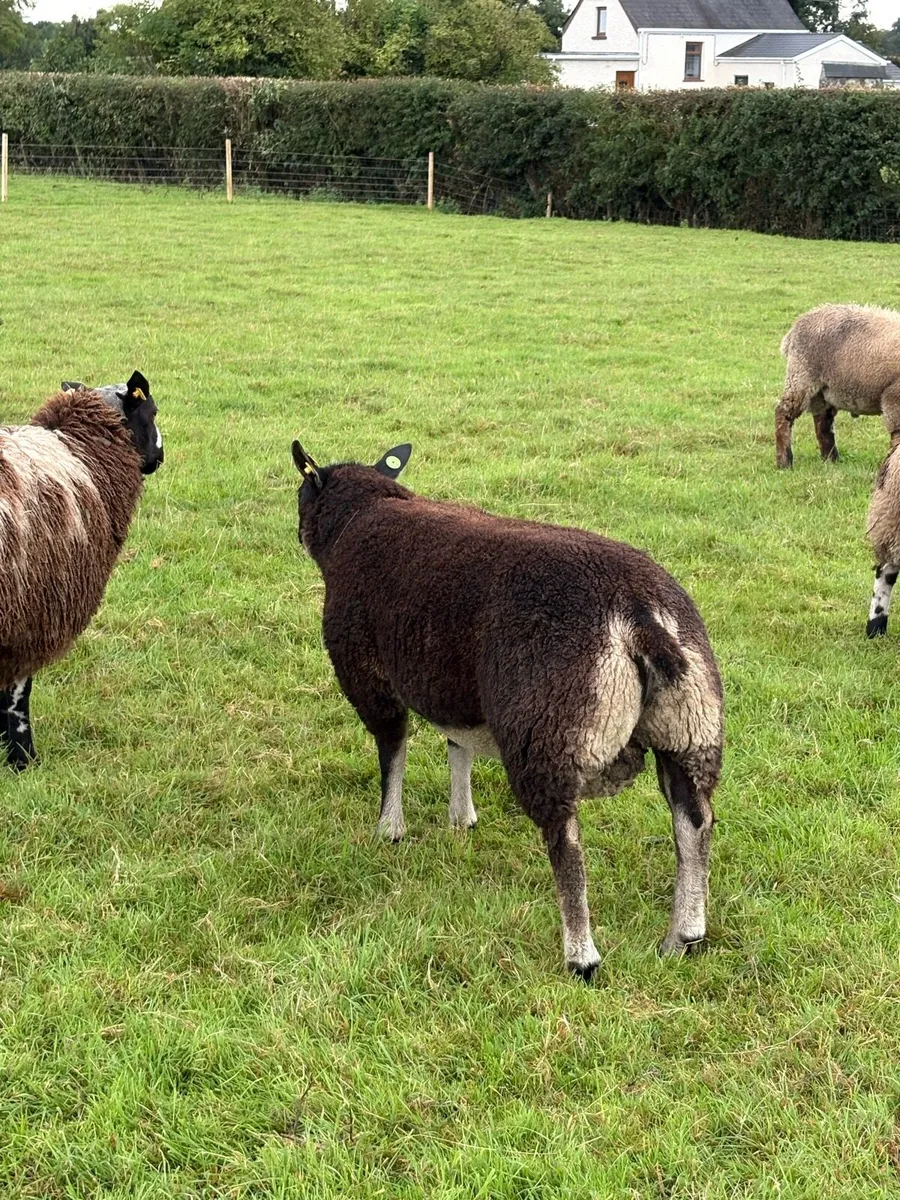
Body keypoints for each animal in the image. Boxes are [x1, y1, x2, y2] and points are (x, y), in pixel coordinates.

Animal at [0, 371, 163, 769]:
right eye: (152, 411)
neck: (81, 451)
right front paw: (23, 760)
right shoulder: (31, 615)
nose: (160, 457)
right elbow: (18, 694)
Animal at [291, 440, 724, 980]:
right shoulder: (453, 685)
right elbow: (457, 745)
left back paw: (581, 956)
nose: (295, 532)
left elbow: (393, 752)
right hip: (690, 728)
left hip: (548, 730)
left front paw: (389, 830)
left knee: (567, 844)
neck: (361, 516)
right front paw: (462, 818)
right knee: (693, 821)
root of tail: (640, 616)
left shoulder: (370, 676)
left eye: (301, 493)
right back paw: (683, 936)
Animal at [775, 304, 900, 468]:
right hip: (801, 375)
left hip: (825, 390)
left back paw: (831, 459)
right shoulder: (893, 397)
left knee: (823, 422)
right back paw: (784, 461)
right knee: (783, 413)